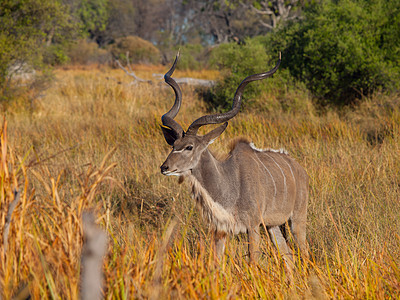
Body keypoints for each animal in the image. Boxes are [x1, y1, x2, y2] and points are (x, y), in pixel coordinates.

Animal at [159, 53, 310, 264]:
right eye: (173, 145)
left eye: (189, 147)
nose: (164, 167)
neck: (229, 184)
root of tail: (300, 170)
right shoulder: (220, 230)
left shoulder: (253, 226)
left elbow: (253, 261)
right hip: (273, 226)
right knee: (288, 257)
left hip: (296, 220)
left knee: (304, 252)